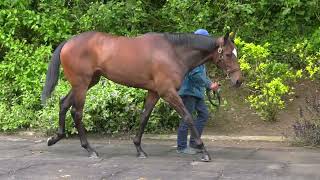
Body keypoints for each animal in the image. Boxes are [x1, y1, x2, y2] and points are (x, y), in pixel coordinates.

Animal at [41, 31, 241, 162]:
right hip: (82, 85)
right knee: (77, 112)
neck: (172, 52)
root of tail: (68, 42)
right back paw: (90, 150)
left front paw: (139, 148)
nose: (239, 80)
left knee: (63, 104)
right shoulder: (168, 92)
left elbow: (144, 117)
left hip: (88, 82)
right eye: (228, 54)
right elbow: (188, 117)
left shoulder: (154, 92)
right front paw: (203, 150)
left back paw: (55, 138)